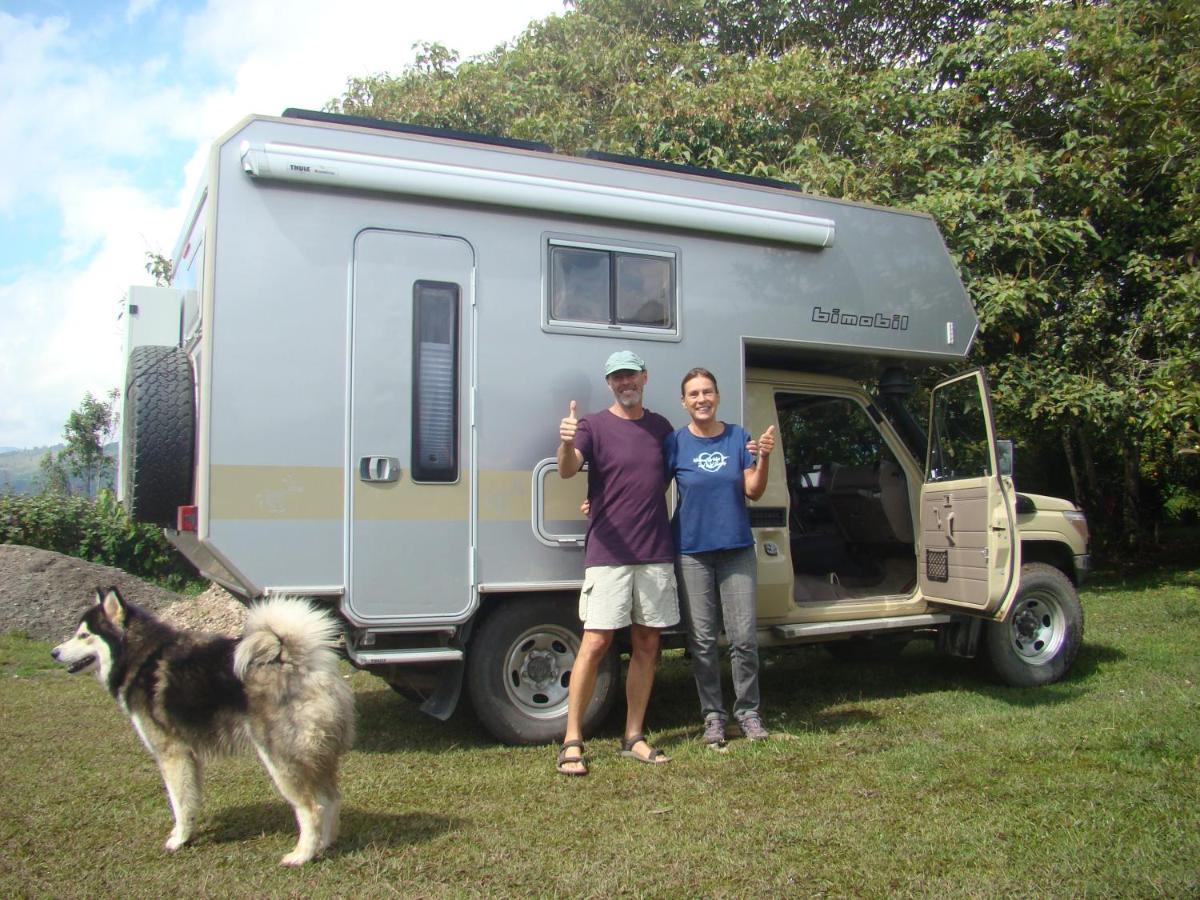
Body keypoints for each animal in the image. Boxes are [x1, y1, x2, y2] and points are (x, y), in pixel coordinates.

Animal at [54, 588, 352, 868]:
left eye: (83, 635)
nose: (53, 652)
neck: (139, 656)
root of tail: (299, 660)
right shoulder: (190, 756)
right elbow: (190, 800)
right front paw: (186, 834)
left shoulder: (171, 753)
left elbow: (179, 803)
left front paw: (178, 840)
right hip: (317, 757)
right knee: (331, 799)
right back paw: (325, 844)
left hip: (281, 761)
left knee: (312, 807)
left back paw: (302, 855)